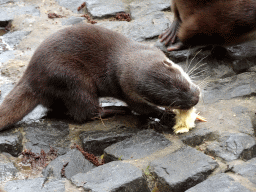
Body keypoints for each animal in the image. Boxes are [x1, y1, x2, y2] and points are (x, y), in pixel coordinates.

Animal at [0, 22, 200, 130]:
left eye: (183, 84)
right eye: (168, 100)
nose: (196, 98)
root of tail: (30, 76)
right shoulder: (127, 91)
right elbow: (141, 108)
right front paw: (166, 114)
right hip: (72, 77)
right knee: (86, 112)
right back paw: (116, 110)